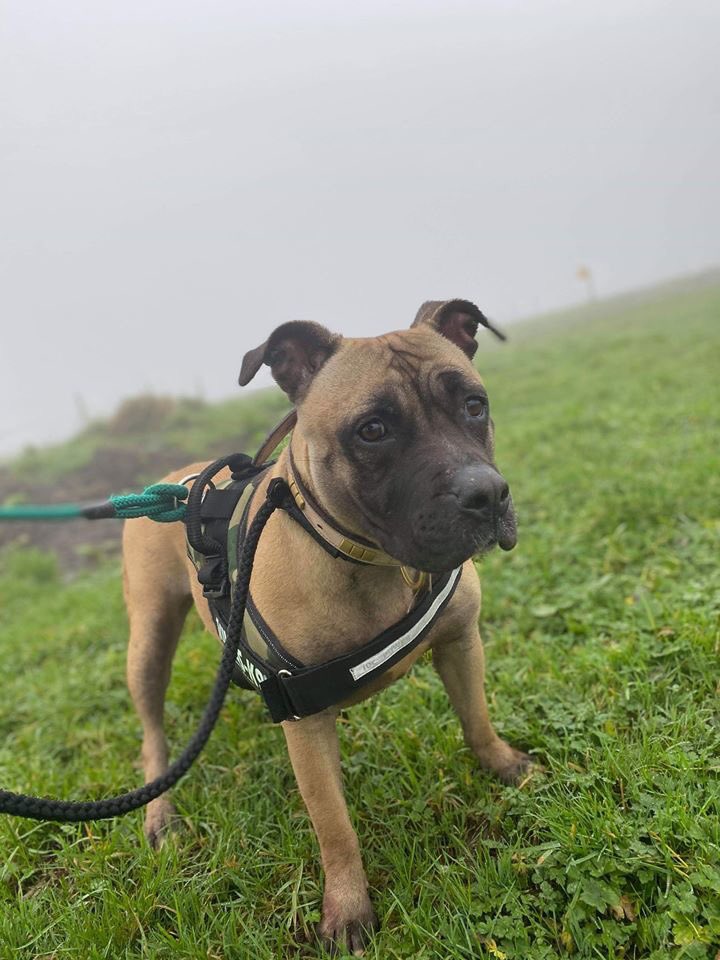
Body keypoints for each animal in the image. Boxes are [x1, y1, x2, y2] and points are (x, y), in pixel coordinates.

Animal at [122, 299, 530, 954]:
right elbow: (334, 825)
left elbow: (476, 719)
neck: (375, 562)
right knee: (153, 734)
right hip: (150, 640)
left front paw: (504, 764)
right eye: (373, 430)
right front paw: (347, 909)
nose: (486, 494)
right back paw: (160, 813)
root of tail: (176, 482)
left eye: (474, 405)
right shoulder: (306, 723)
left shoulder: (460, 643)